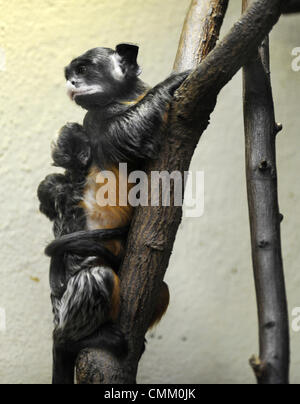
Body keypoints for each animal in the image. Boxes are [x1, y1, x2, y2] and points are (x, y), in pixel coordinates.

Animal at [37, 44, 188, 386]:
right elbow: (126, 135)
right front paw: (169, 85)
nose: (72, 84)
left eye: (82, 70)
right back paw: (71, 340)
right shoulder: (94, 120)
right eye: (71, 74)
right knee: (96, 276)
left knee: (161, 289)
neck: (124, 98)